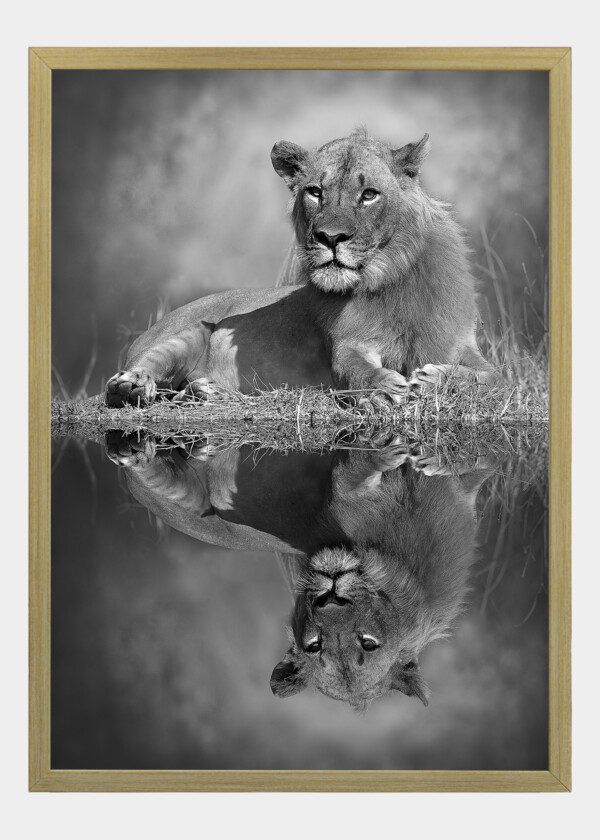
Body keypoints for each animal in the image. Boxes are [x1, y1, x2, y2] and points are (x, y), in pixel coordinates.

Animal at [105, 128, 494, 407]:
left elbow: (491, 378)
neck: (389, 279)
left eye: (369, 194)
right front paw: (382, 389)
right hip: (189, 331)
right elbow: (354, 369)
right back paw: (135, 385)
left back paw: (206, 392)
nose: (330, 237)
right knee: (136, 375)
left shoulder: (459, 343)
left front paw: (434, 379)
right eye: (315, 192)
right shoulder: (347, 345)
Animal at [105, 432, 492, 709]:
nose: (330, 598)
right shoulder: (349, 497)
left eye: (368, 644)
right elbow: (355, 474)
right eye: (314, 645)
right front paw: (386, 450)